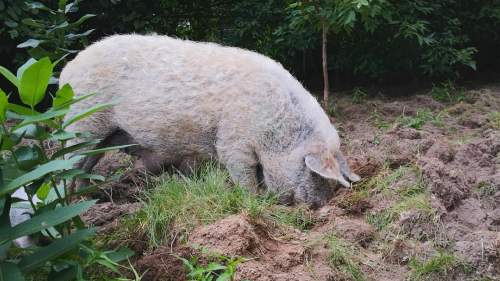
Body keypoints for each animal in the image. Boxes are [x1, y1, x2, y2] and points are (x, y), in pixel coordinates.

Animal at [60, 34, 360, 206]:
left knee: (87, 165)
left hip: (104, 135)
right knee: (68, 164)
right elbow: (243, 175)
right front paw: (255, 203)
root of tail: (66, 71)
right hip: (82, 123)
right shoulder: (233, 141)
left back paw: (94, 199)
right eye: (314, 173)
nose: (319, 206)